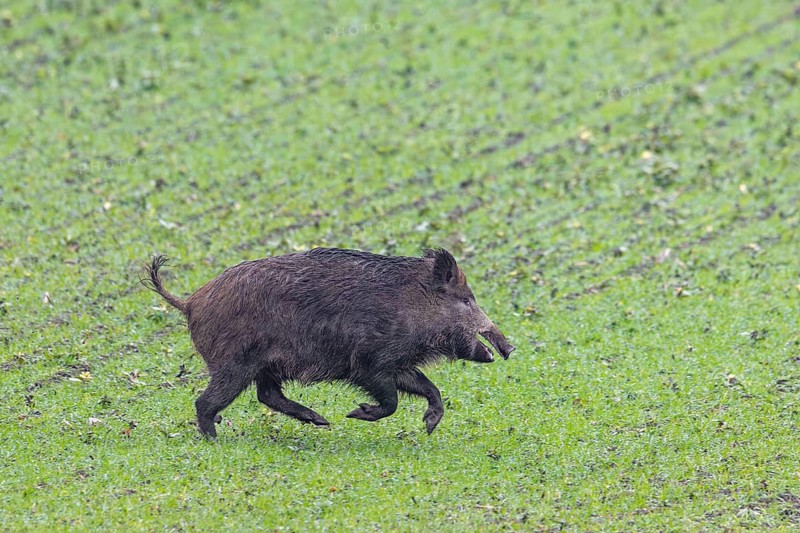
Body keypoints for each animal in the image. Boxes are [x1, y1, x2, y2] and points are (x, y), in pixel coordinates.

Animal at [142, 248, 515, 438]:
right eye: (465, 300)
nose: (510, 348)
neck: (410, 304)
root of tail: (190, 302)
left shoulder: (398, 364)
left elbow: (428, 388)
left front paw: (429, 426)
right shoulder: (368, 363)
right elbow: (391, 400)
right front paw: (355, 413)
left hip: (263, 366)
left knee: (267, 395)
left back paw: (320, 421)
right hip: (235, 364)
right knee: (206, 402)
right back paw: (214, 439)